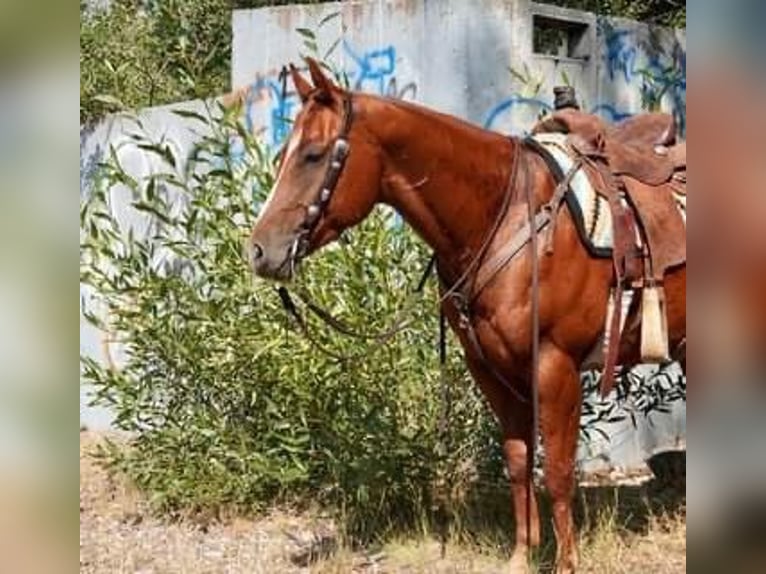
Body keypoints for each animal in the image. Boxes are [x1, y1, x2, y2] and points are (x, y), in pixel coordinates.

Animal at [252, 60, 688, 572]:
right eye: (283, 153)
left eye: (313, 155)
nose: (259, 250)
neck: (505, 216)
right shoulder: (490, 368)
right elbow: (517, 460)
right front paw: (521, 555)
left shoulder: (555, 365)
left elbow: (558, 471)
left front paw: (565, 563)